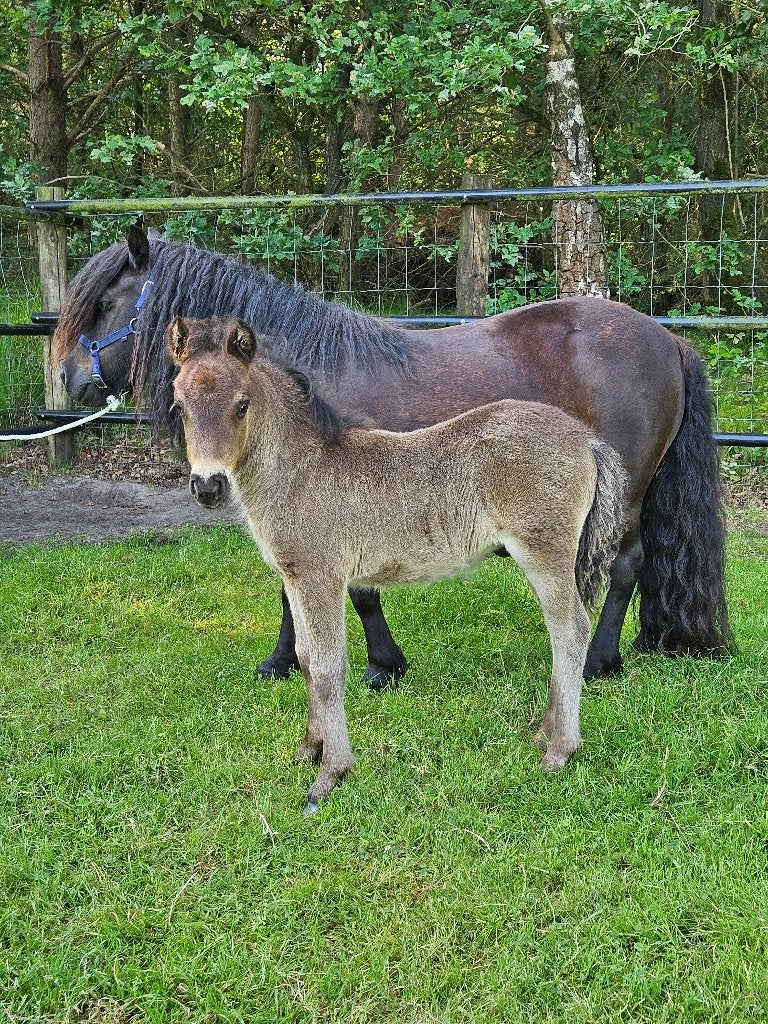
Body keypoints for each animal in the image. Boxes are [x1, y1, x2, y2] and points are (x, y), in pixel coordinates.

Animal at [54, 225, 731, 686]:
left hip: (627, 490)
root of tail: (666, 339)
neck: (305, 379)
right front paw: (281, 660)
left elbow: (359, 592)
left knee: (626, 565)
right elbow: (289, 586)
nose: (67, 381)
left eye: (105, 304)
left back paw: (596, 661)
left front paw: (383, 665)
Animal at [168, 315, 629, 810]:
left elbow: (329, 669)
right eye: (180, 406)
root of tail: (587, 438)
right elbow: (306, 659)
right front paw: (308, 750)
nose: (208, 486)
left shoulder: (321, 577)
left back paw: (560, 749)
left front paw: (330, 775)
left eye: (242, 405)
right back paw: (544, 734)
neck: (301, 470)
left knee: (571, 631)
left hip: (545, 553)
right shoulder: (295, 578)